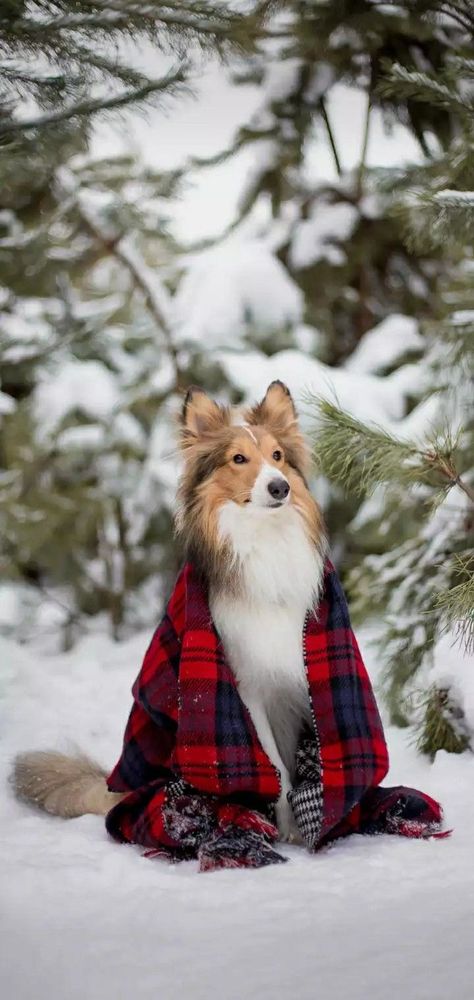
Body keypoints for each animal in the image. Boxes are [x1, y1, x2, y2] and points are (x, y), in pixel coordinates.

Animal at [12, 382, 328, 844]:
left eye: (278, 456)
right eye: (238, 459)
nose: (280, 488)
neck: (264, 541)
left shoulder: (299, 678)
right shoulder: (247, 684)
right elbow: (275, 766)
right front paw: (289, 826)